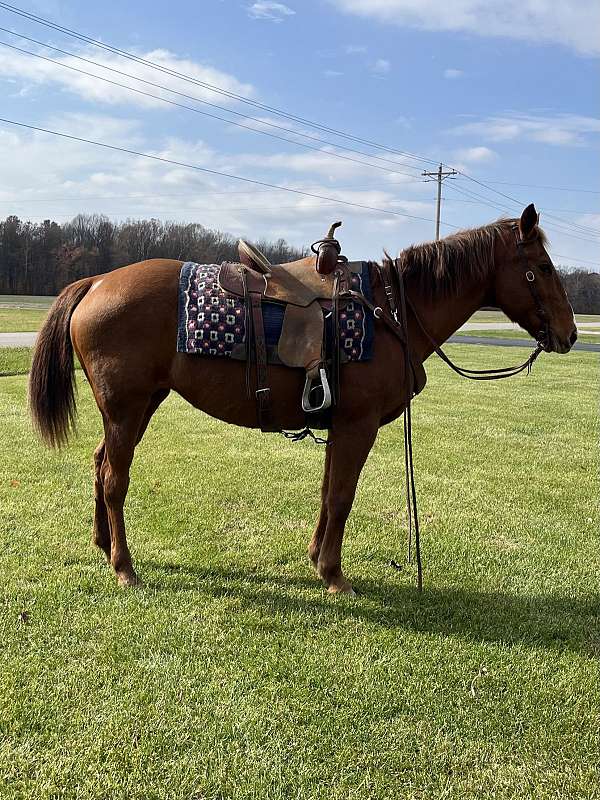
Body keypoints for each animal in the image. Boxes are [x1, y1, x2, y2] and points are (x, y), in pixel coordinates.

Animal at [29, 204, 576, 594]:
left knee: (100, 464)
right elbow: (342, 496)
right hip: (126, 409)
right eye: (543, 267)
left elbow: (329, 491)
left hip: (137, 407)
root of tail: (98, 281)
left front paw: (317, 560)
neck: (391, 311)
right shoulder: (357, 425)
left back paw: (103, 544)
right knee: (115, 479)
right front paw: (334, 575)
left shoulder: (341, 425)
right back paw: (124, 566)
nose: (570, 334)